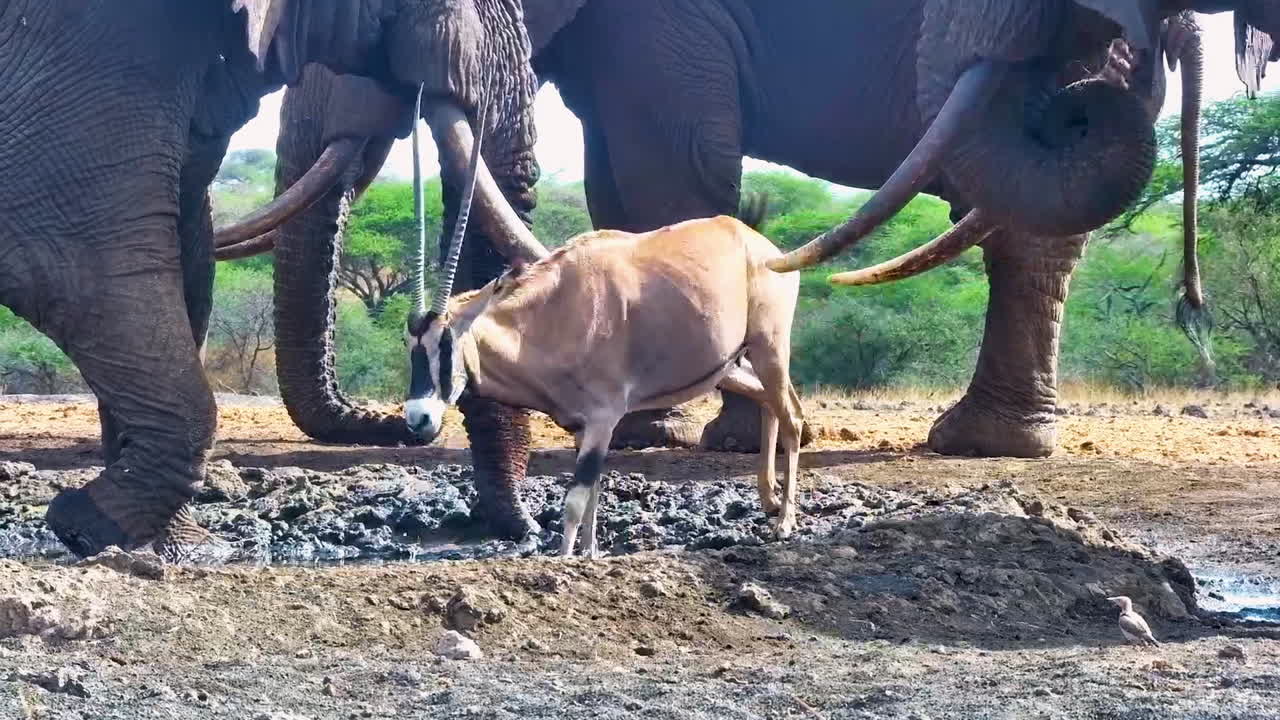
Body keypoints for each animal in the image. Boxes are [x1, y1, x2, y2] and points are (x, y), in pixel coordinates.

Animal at [223, 0, 1274, 462]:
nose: (384, 423)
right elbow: (617, 176)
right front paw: (663, 426)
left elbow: (669, 161)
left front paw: (679, 434)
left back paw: (982, 444)